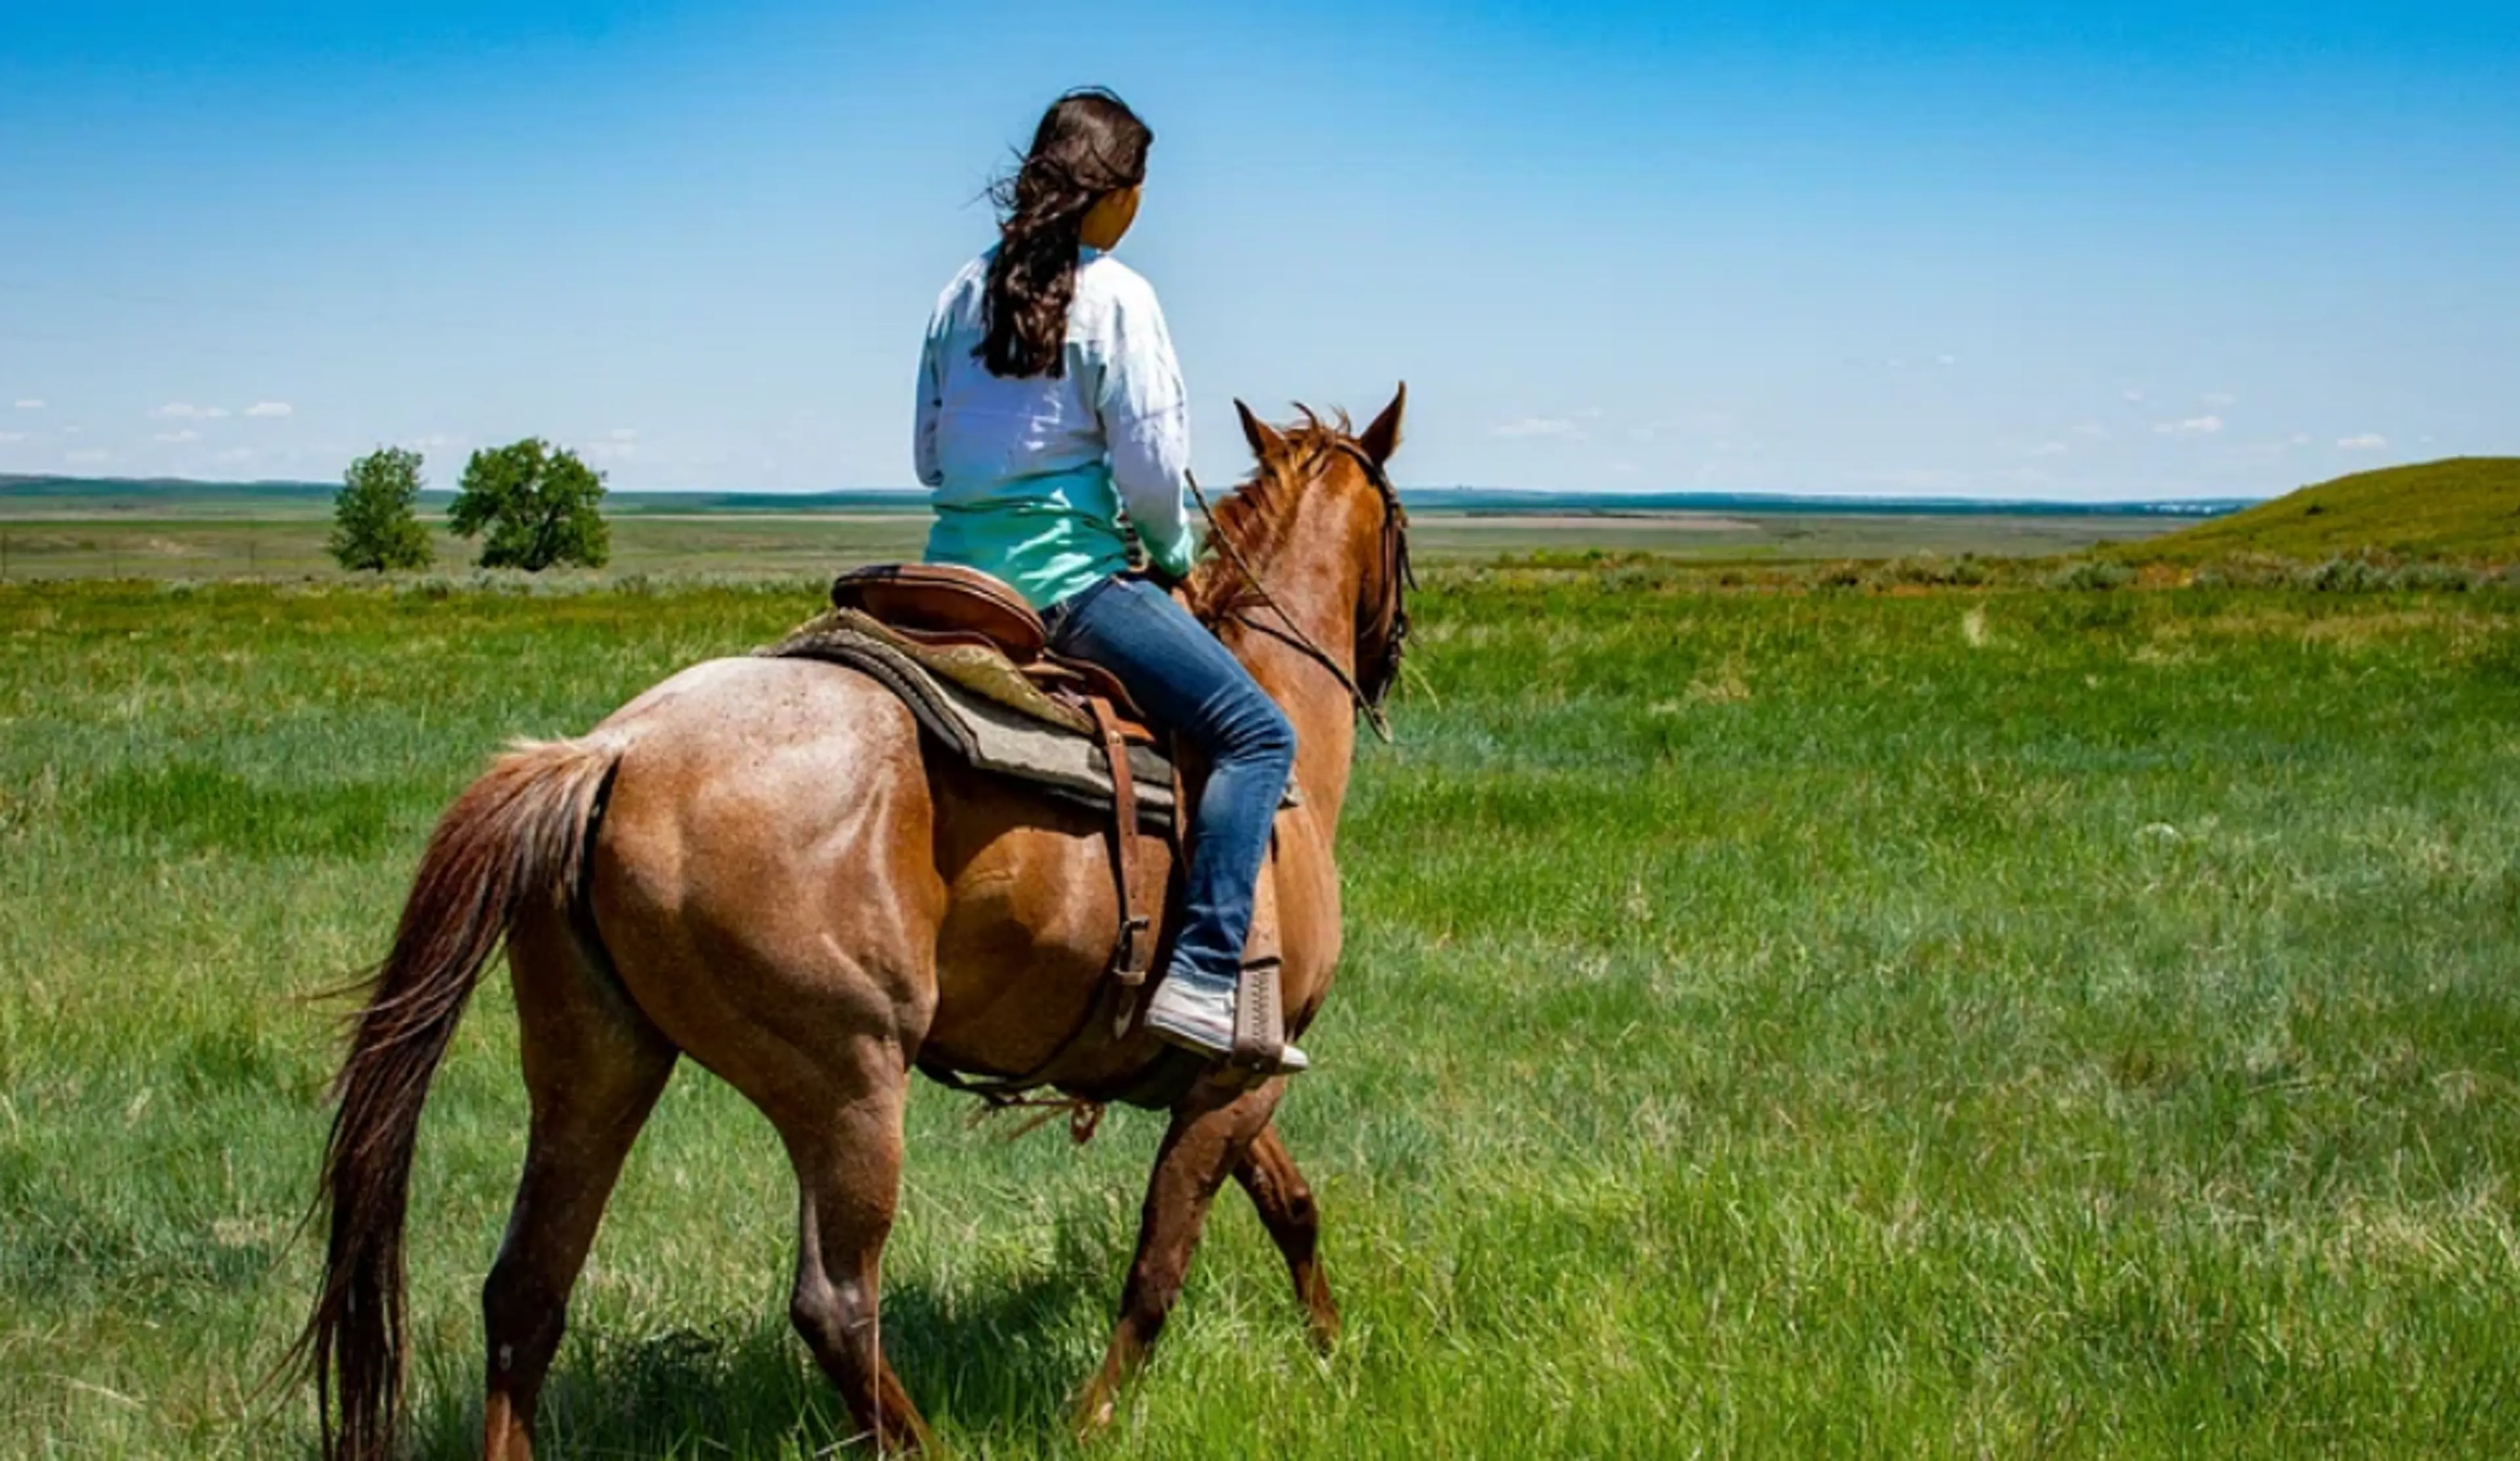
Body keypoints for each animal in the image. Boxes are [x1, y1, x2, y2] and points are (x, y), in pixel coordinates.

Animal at [297, 387, 1412, 1459]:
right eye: (1401, 525)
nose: (1390, 659)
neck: (1278, 718)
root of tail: (610, 753)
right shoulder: (1241, 1077)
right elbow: (1161, 1259)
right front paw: (1094, 1420)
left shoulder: (1222, 1078)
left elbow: (1289, 1206)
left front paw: (1331, 1348)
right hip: (848, 1082)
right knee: (833, 1302)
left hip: (595, 1064)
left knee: (528, 1288)